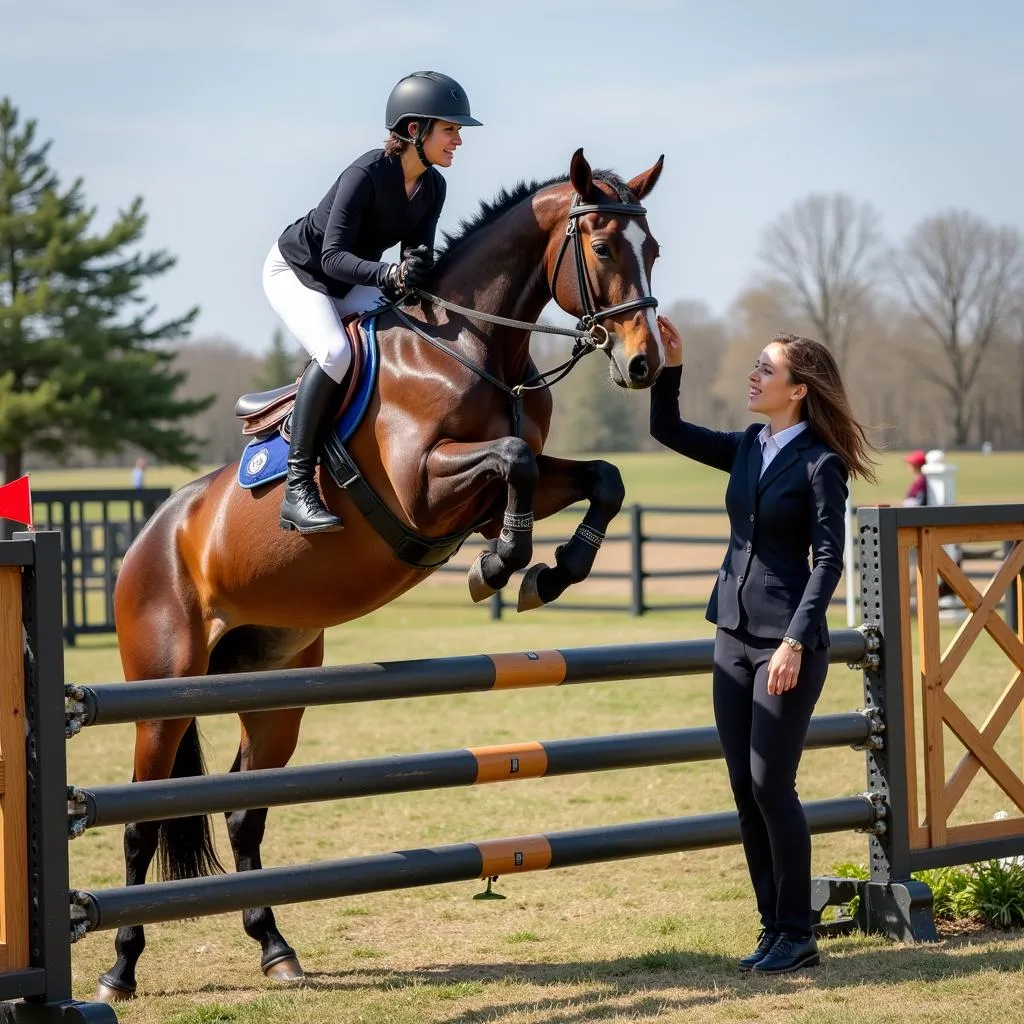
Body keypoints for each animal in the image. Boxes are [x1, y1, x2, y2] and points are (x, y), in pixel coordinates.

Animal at [99, 149, 667, 999]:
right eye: (602, 247)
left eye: (652, 248)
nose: (643, 364)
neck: (471, 347)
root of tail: (149, 537)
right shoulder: (425, 488)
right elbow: (516, 460)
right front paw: (498, 564)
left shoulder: (510, 481)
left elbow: (599, 477)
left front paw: (549, 573)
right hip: (163, 688)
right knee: (142, 820)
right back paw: (120, 967)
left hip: (275, 685)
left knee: (242, 809)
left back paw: (277, 949)